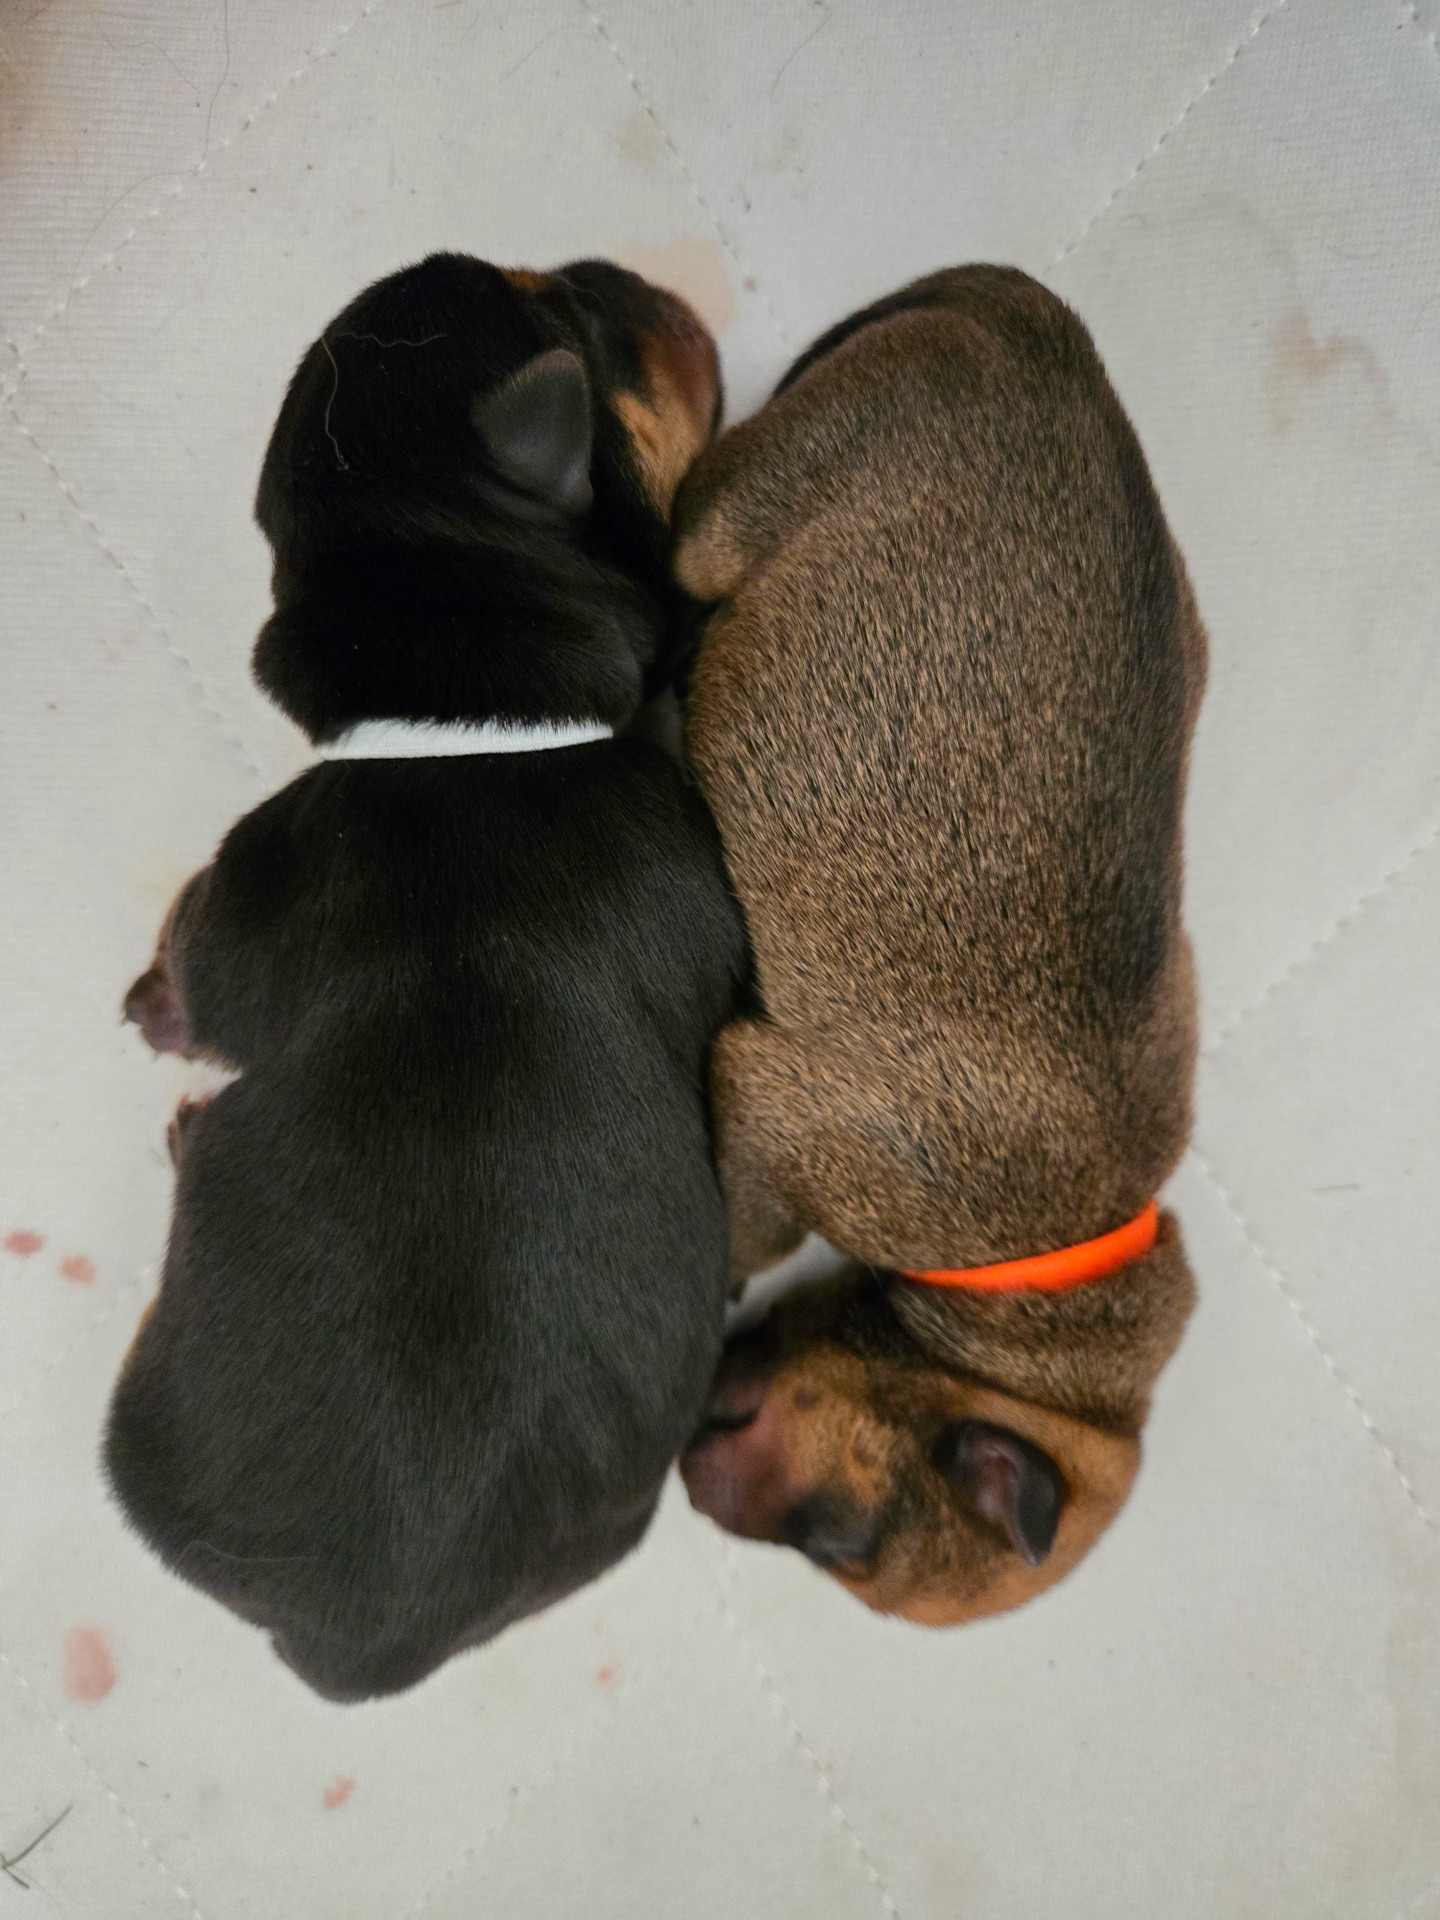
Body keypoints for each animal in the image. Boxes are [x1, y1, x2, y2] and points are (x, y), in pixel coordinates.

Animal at [107, 254, 748, 1700]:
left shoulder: (245, 882)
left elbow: (191, 960)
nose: (619, 272)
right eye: (578, 311)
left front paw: (149, 1013)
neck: (469, 722)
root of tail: (364, 1647)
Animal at [675, 266, 1204, 1625]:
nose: (683, 1478)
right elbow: (750, 1223)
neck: (1032, 1278)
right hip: (755, 499)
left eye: (829, 1549)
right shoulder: (775, 1100)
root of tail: (1045, 332)